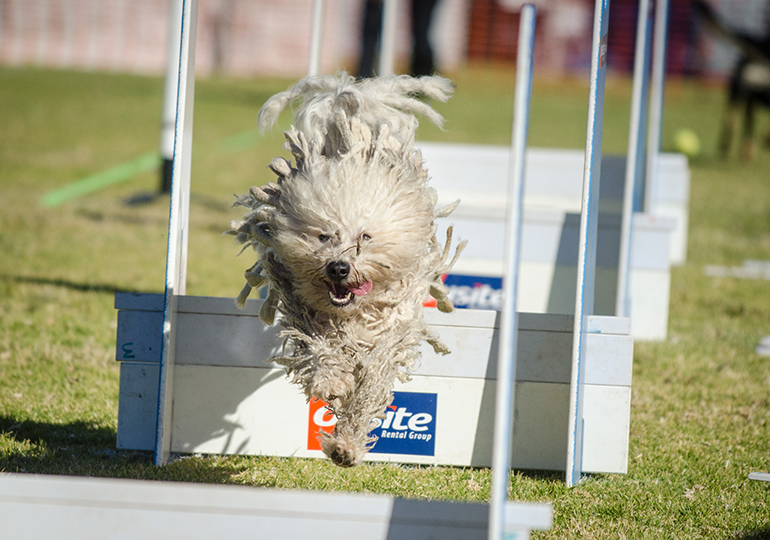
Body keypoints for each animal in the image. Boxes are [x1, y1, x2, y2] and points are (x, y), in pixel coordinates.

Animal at [228, 73, 464, 468]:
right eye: (323, 235)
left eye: (365, 237)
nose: (339, 267)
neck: (353, 312)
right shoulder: (303, 311)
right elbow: (319, 350)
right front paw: (330, 382)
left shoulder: (388, 337)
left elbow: (369, 388)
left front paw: (346, 446)